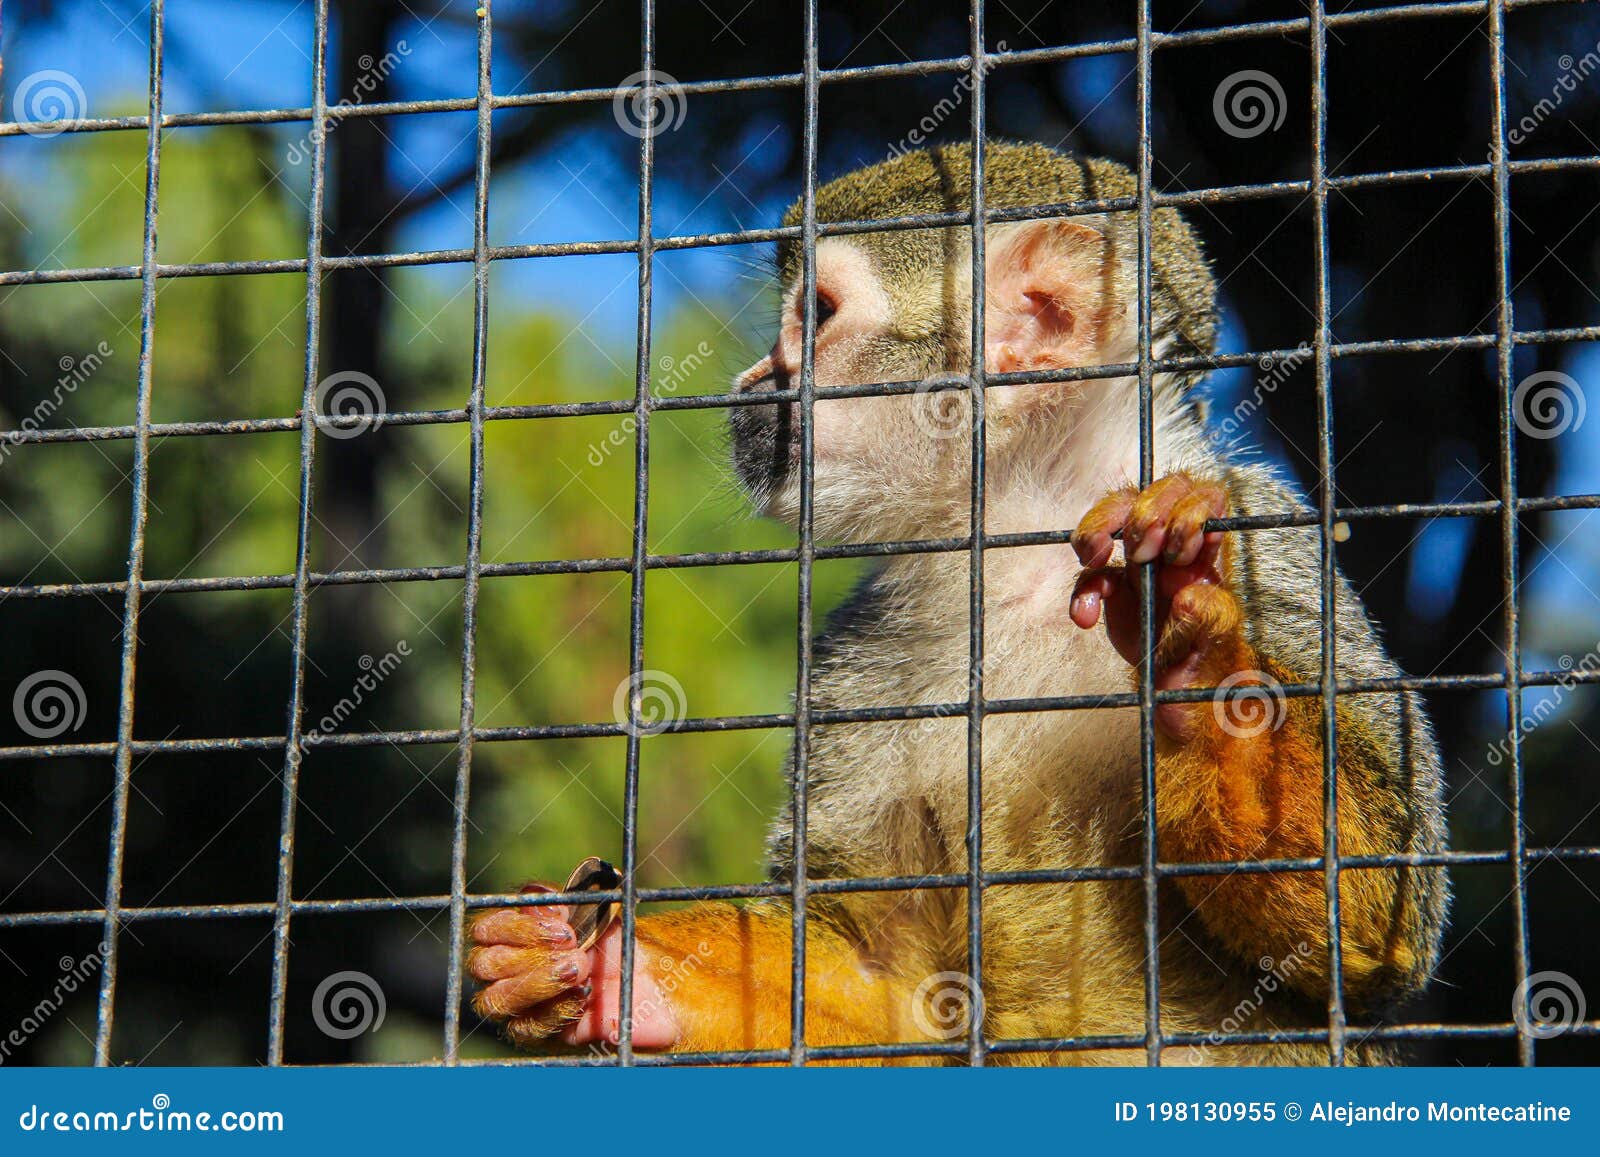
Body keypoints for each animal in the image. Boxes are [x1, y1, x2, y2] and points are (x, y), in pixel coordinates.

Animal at [467, 142, 1448, 1065]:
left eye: (815, 315)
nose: (753, 383)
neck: (1023, 538)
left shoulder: (1263, 538)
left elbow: (1376, 917)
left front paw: (1190, 639)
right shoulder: (856, 653)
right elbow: (887, 978)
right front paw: (614, 970)